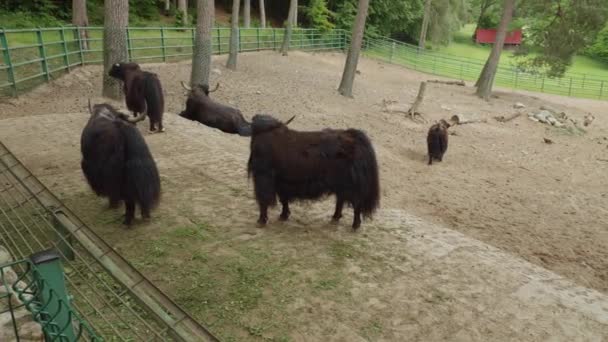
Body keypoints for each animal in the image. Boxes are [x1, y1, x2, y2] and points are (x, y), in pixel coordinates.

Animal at [247, 114, 380, 230]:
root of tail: (353, 136)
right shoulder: (281, 182)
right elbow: (283, 199)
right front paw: (283, 216)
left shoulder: (263, 178)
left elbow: (264, 200)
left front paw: (261, 221)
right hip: (341, 185)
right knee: (341, 200)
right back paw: (335, 218)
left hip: (351, 187)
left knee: (356, 204)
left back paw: (354, 225)